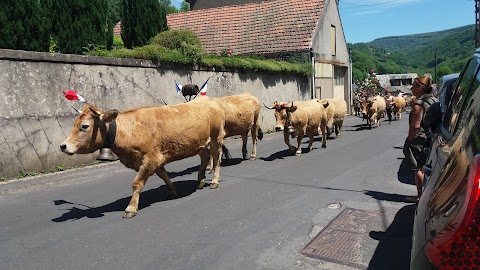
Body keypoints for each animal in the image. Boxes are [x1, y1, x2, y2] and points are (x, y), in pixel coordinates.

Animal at [60, 97, 225, 217]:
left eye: (84, 126)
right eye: (74, 124)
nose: (63, 146)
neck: (128, 131)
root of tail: (208, 99)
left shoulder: (150, 158)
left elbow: (137, 183)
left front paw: (131, 208)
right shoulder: (156, 158)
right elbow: (164, 175)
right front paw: (172, 191)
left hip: (216, 137)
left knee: (217, 158)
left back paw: (214, 181)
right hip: (199, 143)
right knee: (205, 155)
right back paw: (201, 179)